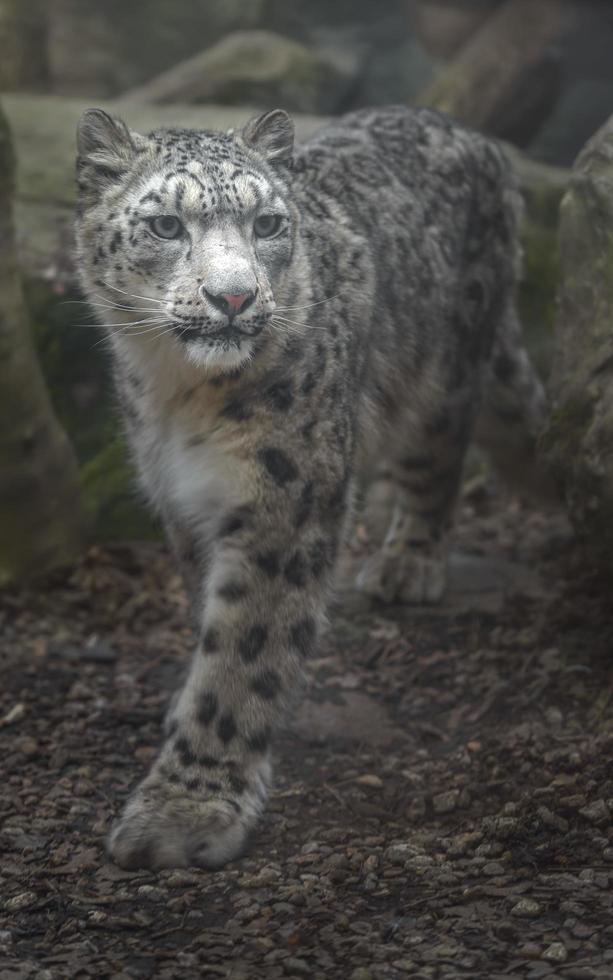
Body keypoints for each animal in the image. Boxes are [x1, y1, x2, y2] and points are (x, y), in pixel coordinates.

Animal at [75, 103, 544, 868]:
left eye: (267, 222)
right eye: (166, 225)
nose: (233, 297)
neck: (179, 394)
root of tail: (468, 131)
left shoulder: (285, 499)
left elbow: (245, 651)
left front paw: (183, 810)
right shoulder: (181, 499)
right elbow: (206, 608)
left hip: (445, 375)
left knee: (437, 460)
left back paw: (407, 562)